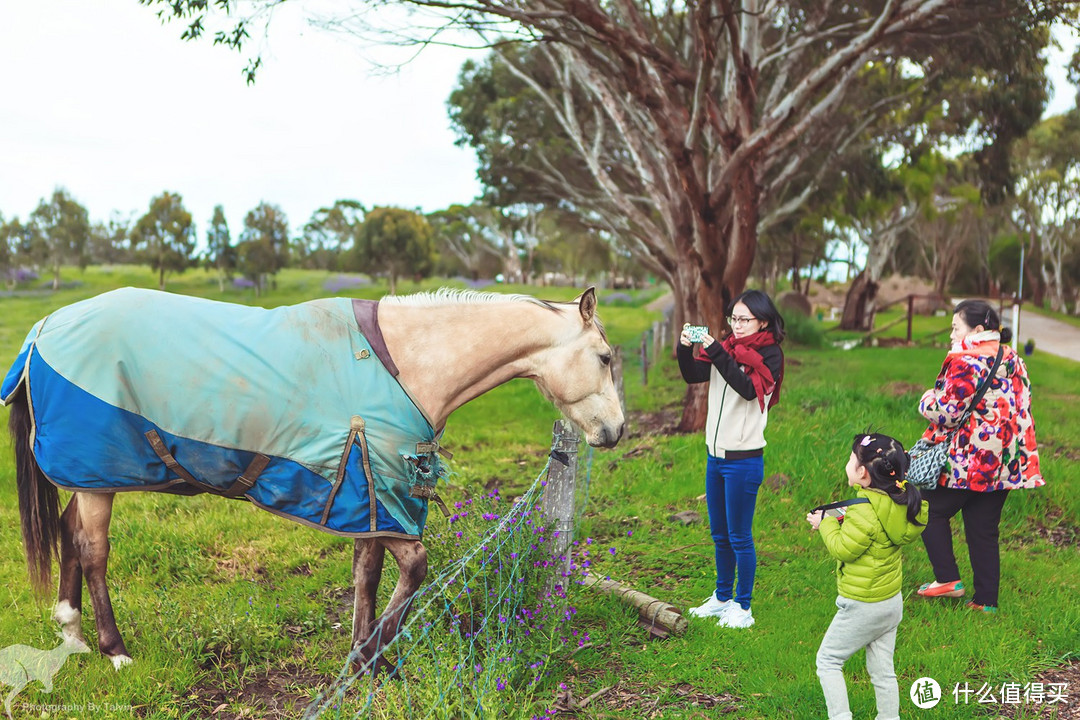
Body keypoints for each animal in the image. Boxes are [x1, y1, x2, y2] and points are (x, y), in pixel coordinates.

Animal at [2, 287, 626, 677]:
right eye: (603, 356)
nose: (617, 431)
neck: (408, 364)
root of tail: (44, 329)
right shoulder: (380, 498)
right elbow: (415, 568)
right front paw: (373, 653)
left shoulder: (370, 499)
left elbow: (367, 575)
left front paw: (365, 660)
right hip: (96, 478)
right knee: (93, 550)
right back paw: (114, 650)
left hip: (90, 478)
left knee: (70, 535)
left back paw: (71, 633)